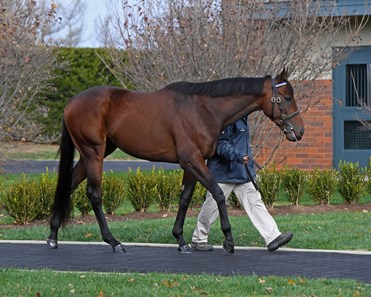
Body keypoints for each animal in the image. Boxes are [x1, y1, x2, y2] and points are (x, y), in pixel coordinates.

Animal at [47, 68, 306, 253]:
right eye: (286, 97)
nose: (300, 131)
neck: (203, 109)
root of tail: (71, 102)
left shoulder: (193, 163)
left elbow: (184, 198)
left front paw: (181, 240)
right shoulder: (191, 160)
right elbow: (218, 194)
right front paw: (228, 240)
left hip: (94, 153)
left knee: (68, 186)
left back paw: (53, 236)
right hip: (93, 153)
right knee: (94, 194)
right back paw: (113, 241)